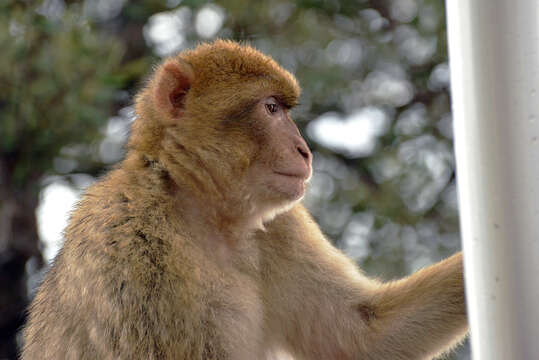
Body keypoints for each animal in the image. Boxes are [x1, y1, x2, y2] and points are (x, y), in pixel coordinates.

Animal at [22, 40, 468, 358]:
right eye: (270, 108)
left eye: (284, 109)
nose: (305, 150)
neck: (204, 212)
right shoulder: (130, 250)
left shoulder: (281, 225)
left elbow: (363, 335)